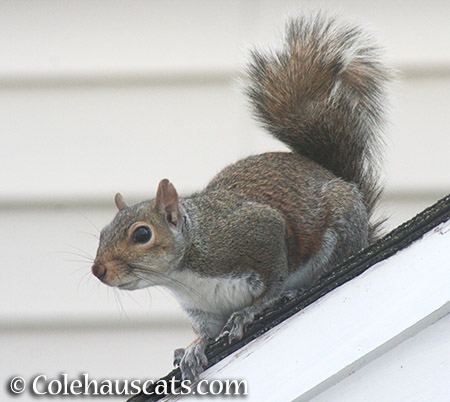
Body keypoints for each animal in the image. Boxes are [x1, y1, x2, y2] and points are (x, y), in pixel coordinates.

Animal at [92, 14, 394, 382]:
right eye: (103, 233)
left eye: (141, 234)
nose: (98, 270)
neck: (186, 271)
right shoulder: (201, 308)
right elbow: (205, 331)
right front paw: (193, 348)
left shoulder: (256, 233)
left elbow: (270, 282)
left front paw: (251, 311)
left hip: (340, 228)